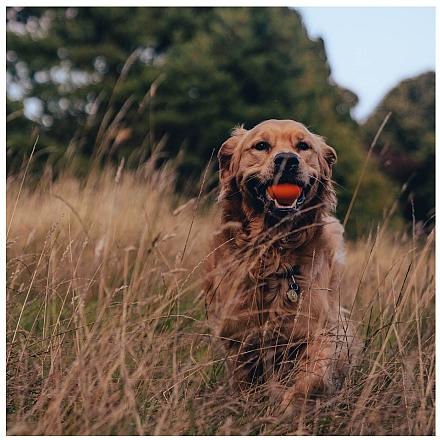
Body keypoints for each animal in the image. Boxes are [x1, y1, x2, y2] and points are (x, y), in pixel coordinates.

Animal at [206, 118, 354, 410]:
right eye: (261, 145)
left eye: (303, 146)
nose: (287, 159)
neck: (274, 251)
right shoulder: (238, 334)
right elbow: (244, 381)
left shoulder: (320, 329)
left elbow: (312, 377)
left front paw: (289, 405)